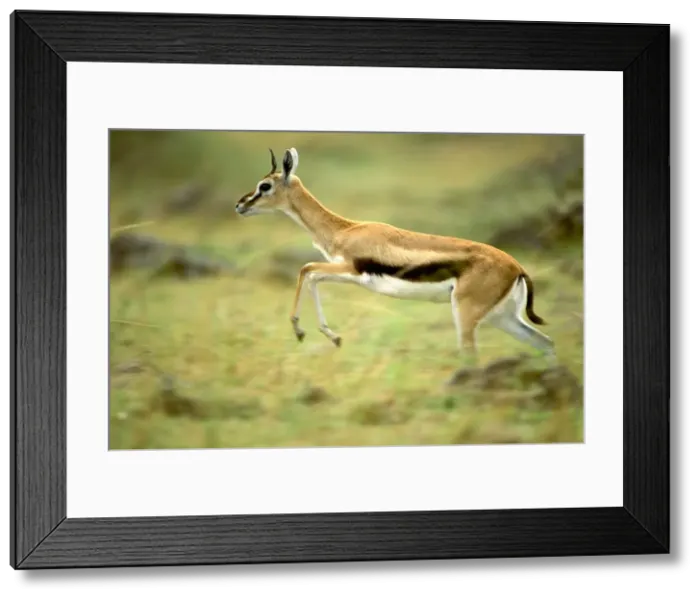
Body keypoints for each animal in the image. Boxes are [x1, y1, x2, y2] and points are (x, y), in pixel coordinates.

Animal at [235, 147, 556, 365]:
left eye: (265, 185)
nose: (240, 205)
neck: (347, 229)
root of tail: (517, 267)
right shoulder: (346, 273)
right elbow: (312, 275)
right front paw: (332, 336)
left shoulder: (350, 270)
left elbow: (306, 269)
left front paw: (306, 332)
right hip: (503, 318)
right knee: (546, 343)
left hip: (467, 315)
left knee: (471, 354)